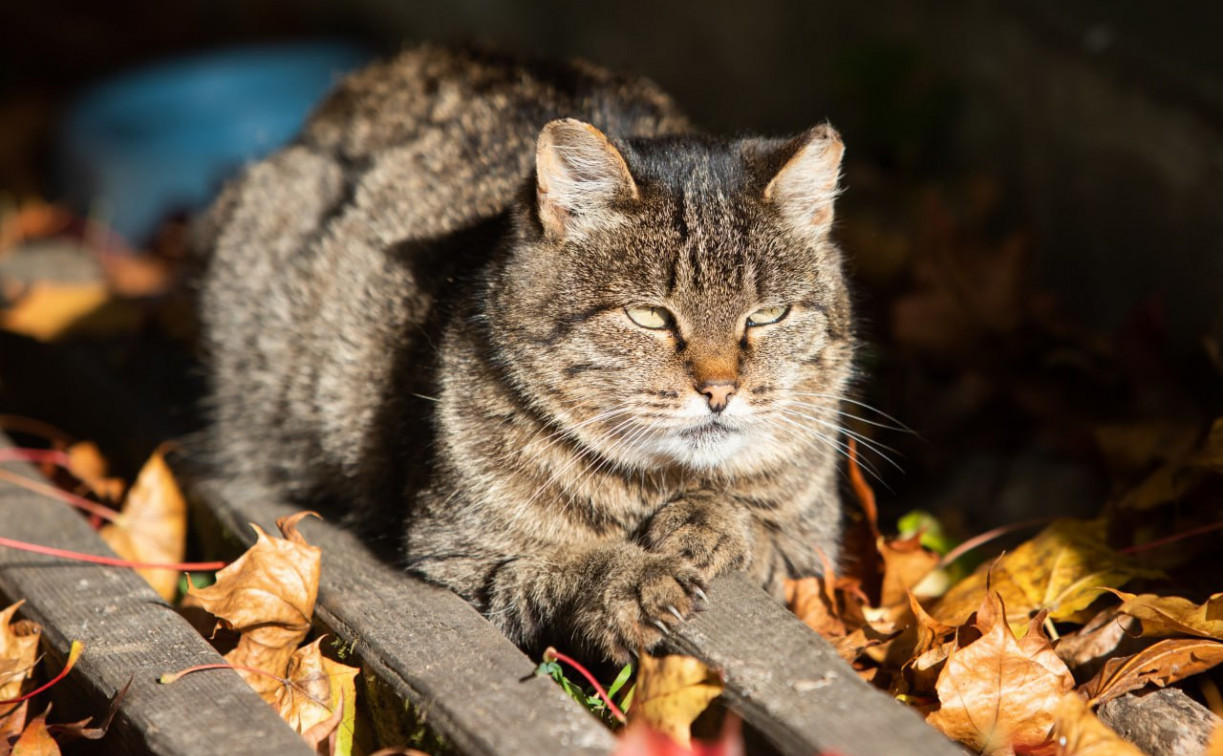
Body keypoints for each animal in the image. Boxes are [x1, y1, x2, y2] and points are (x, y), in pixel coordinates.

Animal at [195, 45, 856, 660]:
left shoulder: (815, 557)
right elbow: (554, 569)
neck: (654, 485)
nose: (720, 391)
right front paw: (630, 580)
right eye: (649, 316)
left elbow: (760, 532)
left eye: (767, 315)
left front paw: (706, 520)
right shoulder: (454, 556)